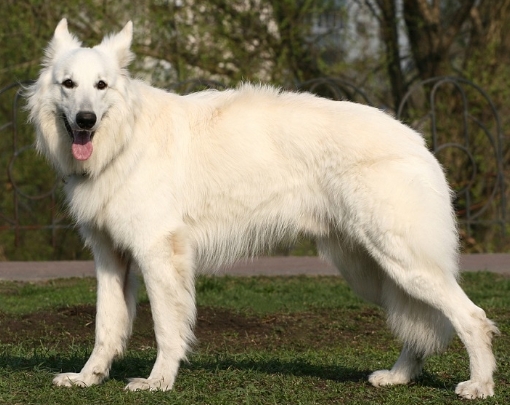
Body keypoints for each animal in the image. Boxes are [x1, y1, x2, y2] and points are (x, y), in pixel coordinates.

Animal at [26, 19, 498, 398]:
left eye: (101, 86)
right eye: (68, 84)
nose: (85, 120)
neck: (124, 138)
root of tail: (418, 142)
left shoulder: (159, 256)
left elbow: (166, 327)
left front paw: (158, 381)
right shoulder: (111, 258)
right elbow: (106, 327)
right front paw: (88, 378)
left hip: (401, 262)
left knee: (471, 317)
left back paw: (479, 385)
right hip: (372, 270)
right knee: (422, 326)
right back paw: (399, 377)